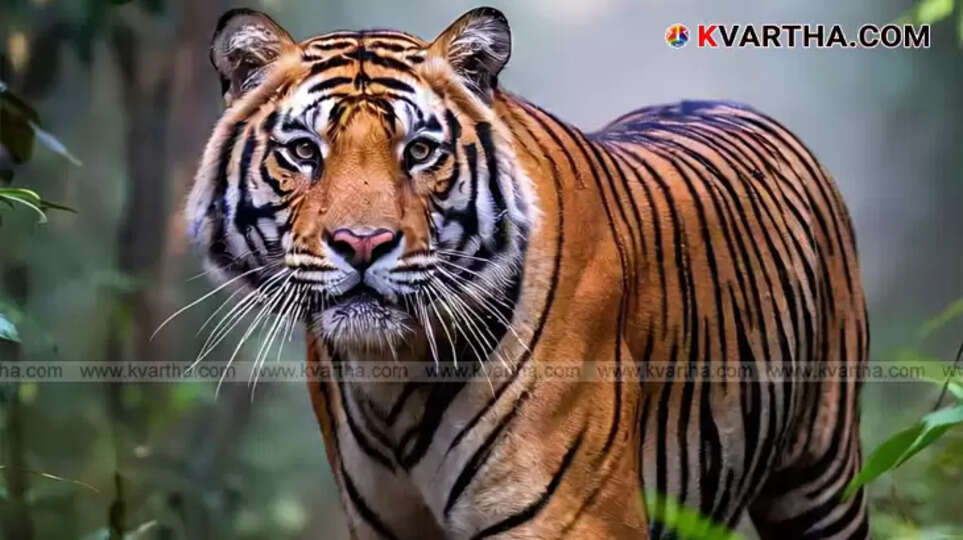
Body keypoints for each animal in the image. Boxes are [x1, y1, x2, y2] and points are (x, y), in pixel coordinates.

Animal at [186, 7, 870, 539]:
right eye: (304, 151)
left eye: (420, 151)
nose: (362, 243)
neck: (393, 374)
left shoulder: (570, 520)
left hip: (823, 474)